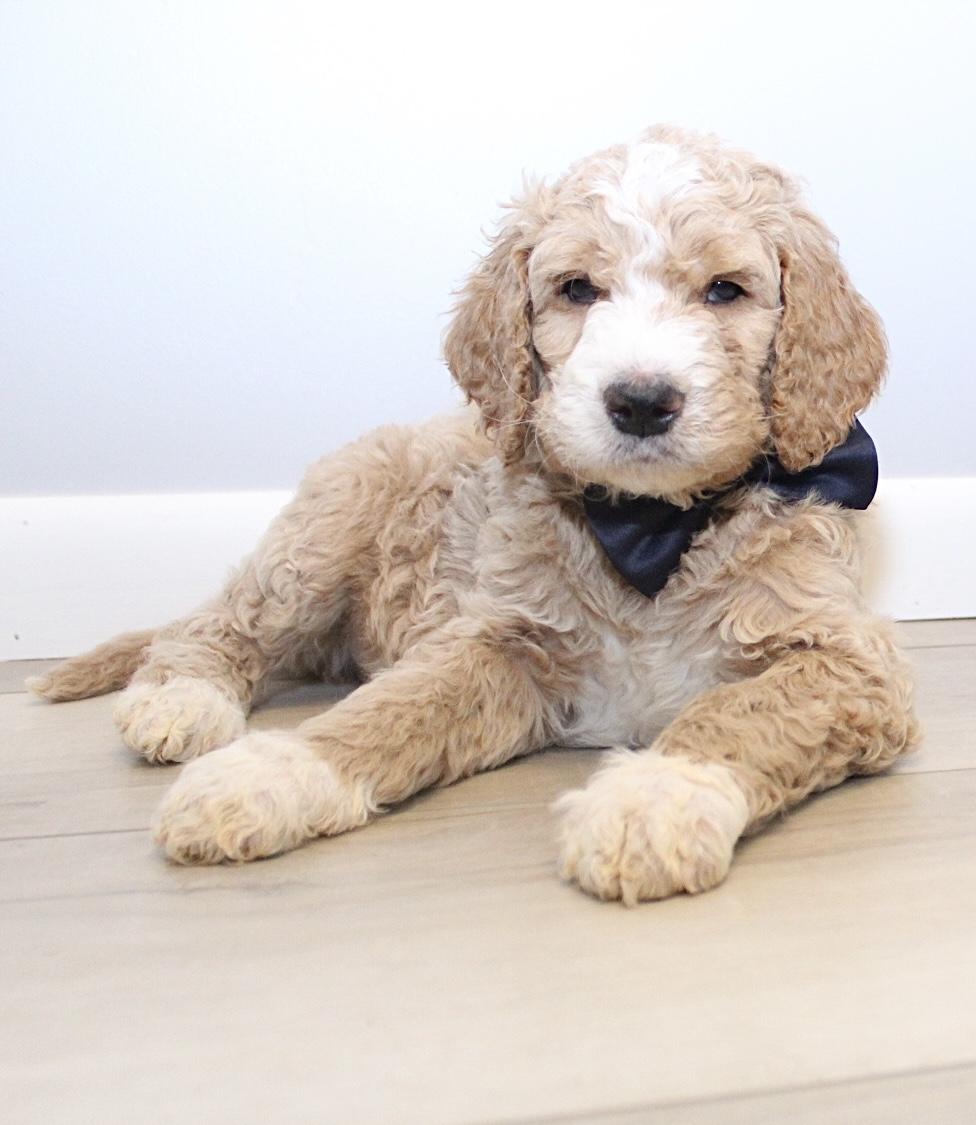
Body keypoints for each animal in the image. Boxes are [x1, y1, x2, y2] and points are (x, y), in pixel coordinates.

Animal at [30, 125, 919, 904]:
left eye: (726, 291)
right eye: (576, 289)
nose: (640, 400)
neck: (649, 530)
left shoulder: (845, 658)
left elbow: (740, 712)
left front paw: (653, 798)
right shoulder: (501, 635)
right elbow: (391, 707)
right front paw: (268, 772)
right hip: (323, 531)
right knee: (219, 622)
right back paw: (181, 698)